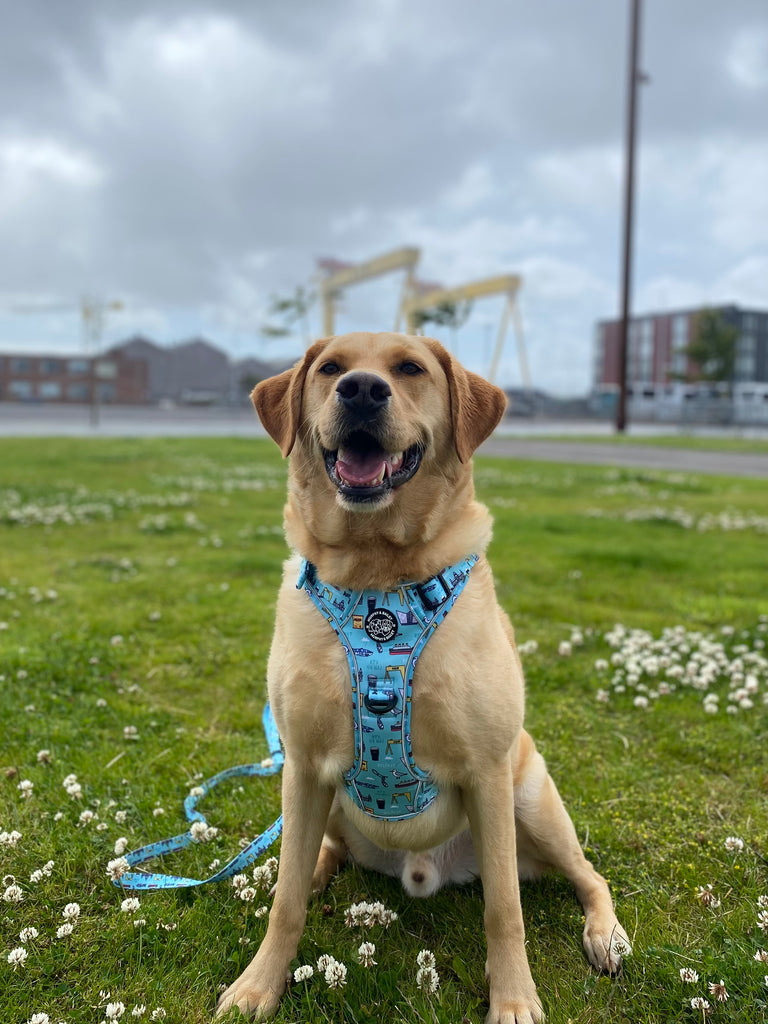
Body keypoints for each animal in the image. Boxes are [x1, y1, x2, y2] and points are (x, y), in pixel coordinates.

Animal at [218, 331, 630, 1019]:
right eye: (329, 368)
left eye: (410, 368)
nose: (360, 389)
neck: (377, 577)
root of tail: (424, 871)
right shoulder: (301, 766)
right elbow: (286, 902)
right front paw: (258, 985)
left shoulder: (487, 773)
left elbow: (504, 910)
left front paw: (513, 999)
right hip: (326, 804)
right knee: (315, 857)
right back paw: (315, 867)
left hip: (530, 800)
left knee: (588, 876)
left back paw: (604, 933)